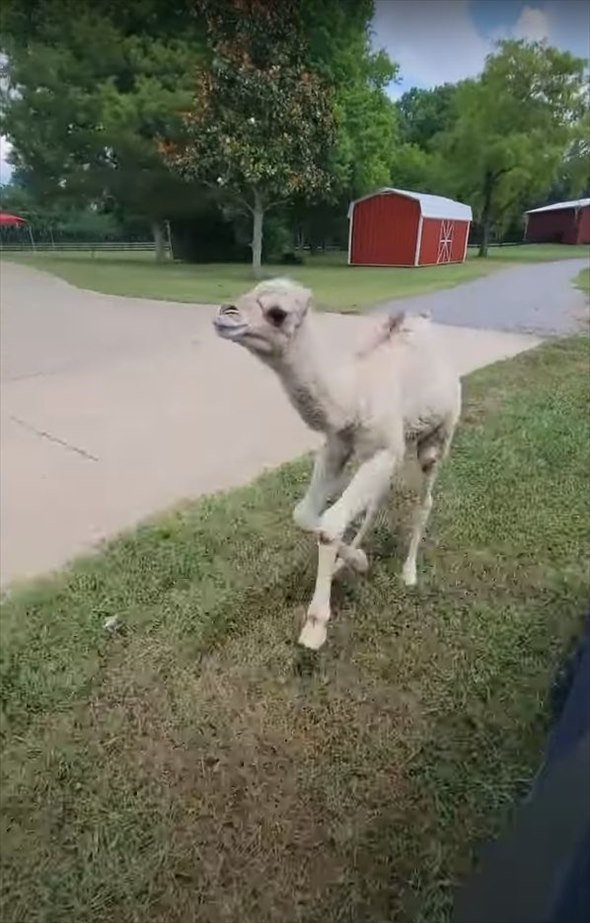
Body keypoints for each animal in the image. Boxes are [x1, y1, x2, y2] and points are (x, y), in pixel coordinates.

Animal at [213, 278, 462, 648]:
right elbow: (305, 514)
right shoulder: (337, 446)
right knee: (378, 499)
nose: (225, 315)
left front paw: (315, 626)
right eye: (248, 291)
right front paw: (356, 561)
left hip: (438, 436)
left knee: (425, 499)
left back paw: (409, 572)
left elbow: (330, 523)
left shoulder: (383, 449)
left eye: (277, 313)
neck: (354, 398)